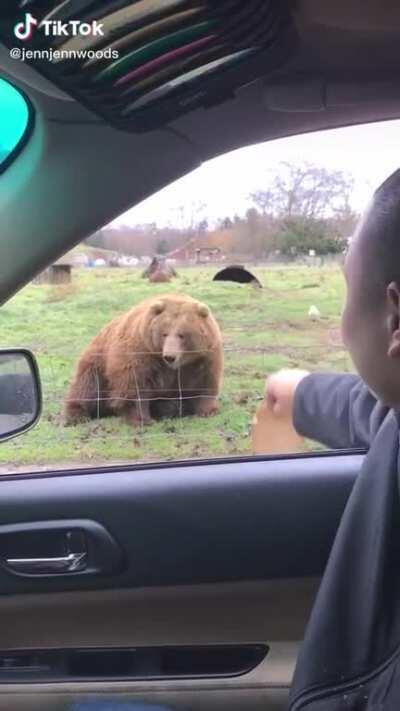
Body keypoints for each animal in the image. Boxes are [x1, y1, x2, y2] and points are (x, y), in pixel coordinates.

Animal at [63, 294, 224, 427]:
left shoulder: (203, 357)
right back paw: (76, 416)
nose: (169, 356)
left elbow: (204, 382)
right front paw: (142, 419)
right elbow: (135, 386)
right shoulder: (142, 352)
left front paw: (208, 410)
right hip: (97, 362)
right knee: (88, 387)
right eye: (164, 333)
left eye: (182, 335)